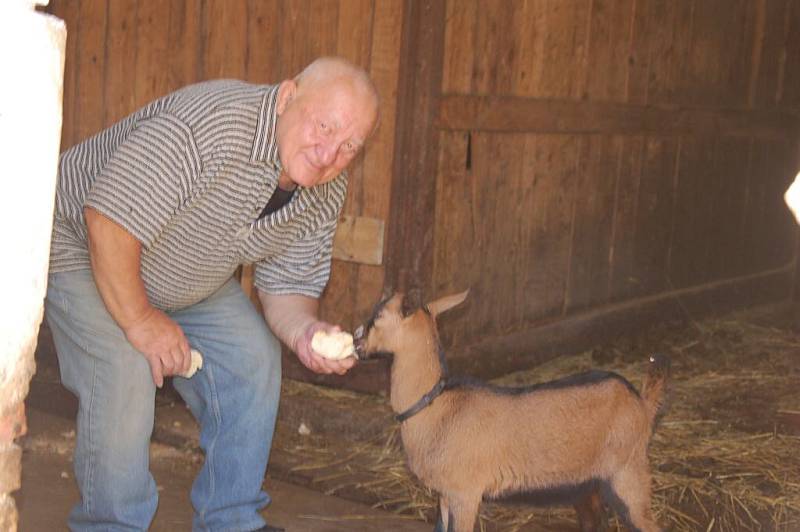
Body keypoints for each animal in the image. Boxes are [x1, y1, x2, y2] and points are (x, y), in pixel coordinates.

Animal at [354, 290, 668, 532]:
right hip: (590, 481)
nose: (356, 338)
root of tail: (642, 402)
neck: (437, 406)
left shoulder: (466, 494)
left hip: (629, 471)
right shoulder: (445, 494)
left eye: (378, 316)